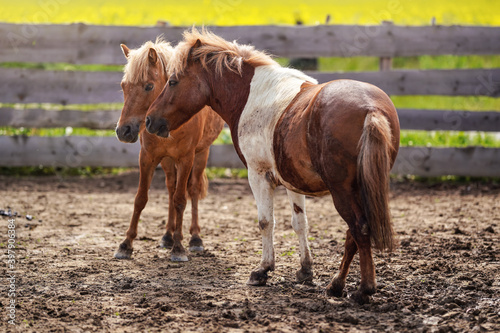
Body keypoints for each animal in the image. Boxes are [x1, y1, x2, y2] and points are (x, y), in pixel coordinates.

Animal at [115, 37, 225, 260]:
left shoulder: (186, 159)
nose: (123, 131)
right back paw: (168, 235)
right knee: (171, 188)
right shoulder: (147, 157)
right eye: (124, 86)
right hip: (166, 161)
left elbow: (181, 200)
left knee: (192, 190)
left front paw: (179, 247)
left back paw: (194, 238)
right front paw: (126, 244)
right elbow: (140, 198)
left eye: (149, 86)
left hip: (201, 155)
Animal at [144, 29, 398, 302]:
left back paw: (364, 288)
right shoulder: (292, 181)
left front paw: (263, 270)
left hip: (343, 191)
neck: (251, 96)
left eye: (173, 81)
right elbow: (300, 223)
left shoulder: (258, 175)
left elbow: (266, 222)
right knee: (353, 233)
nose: (149, 120)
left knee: (359, 229)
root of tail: (371, 108)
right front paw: (305, 270)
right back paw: (336, 284)